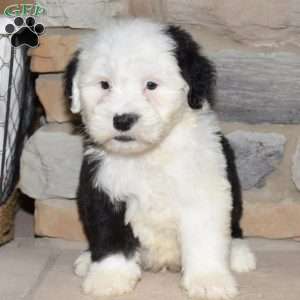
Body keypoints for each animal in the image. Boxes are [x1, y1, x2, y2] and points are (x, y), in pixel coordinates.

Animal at [63, 17, 255, 298]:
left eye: (151, 85)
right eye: (105, 85)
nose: (123, 120)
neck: (149, 154)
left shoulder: (204, 189)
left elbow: (205, 237)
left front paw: (209, 280)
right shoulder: (102, 189)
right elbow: (109, 235)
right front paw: (109, 278)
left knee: (235, 225)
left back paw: (238, 254)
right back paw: (87, 260)